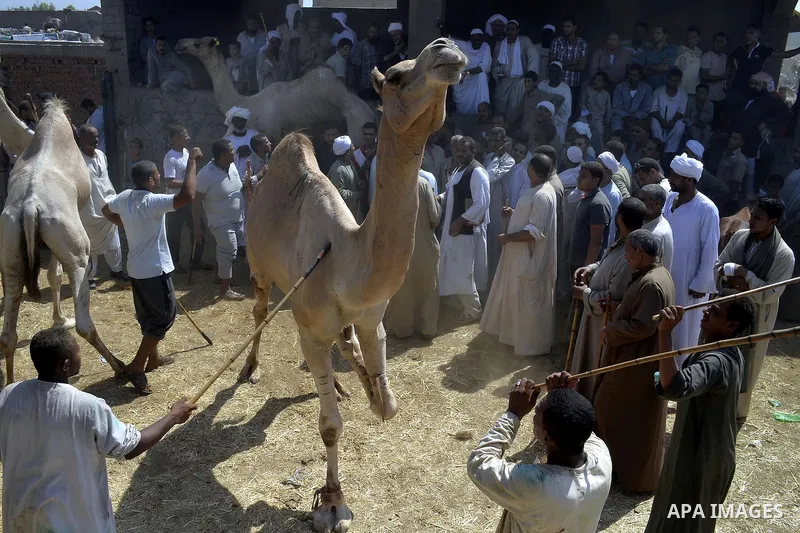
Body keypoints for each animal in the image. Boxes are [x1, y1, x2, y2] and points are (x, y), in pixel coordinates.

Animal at [0, 98, 124, 386]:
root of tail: (29, 207)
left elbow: (51, 276)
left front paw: (57, 318)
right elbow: (54, 275)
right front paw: (59, 319)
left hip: (10, 252)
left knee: (8, 334)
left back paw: (9, 384)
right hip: (74, 249)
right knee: (84, 323)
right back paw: (122, 369)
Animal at [174, 37, 375, 146]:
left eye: (198, 44)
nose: (179, 43)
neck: (251, 105)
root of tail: (371, 112)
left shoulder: (274, 133)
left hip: (358, 129)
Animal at [239, 39, 466, 533]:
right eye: (396, 76)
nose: (446, 47)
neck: (345, 259)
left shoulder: (371, 318)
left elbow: (388, 404)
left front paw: (368, 389)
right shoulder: (311, 326)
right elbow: (330, 426)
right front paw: (332, 503)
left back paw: (347, 383)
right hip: (258, 263)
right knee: (261, 309)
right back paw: (251, 367)